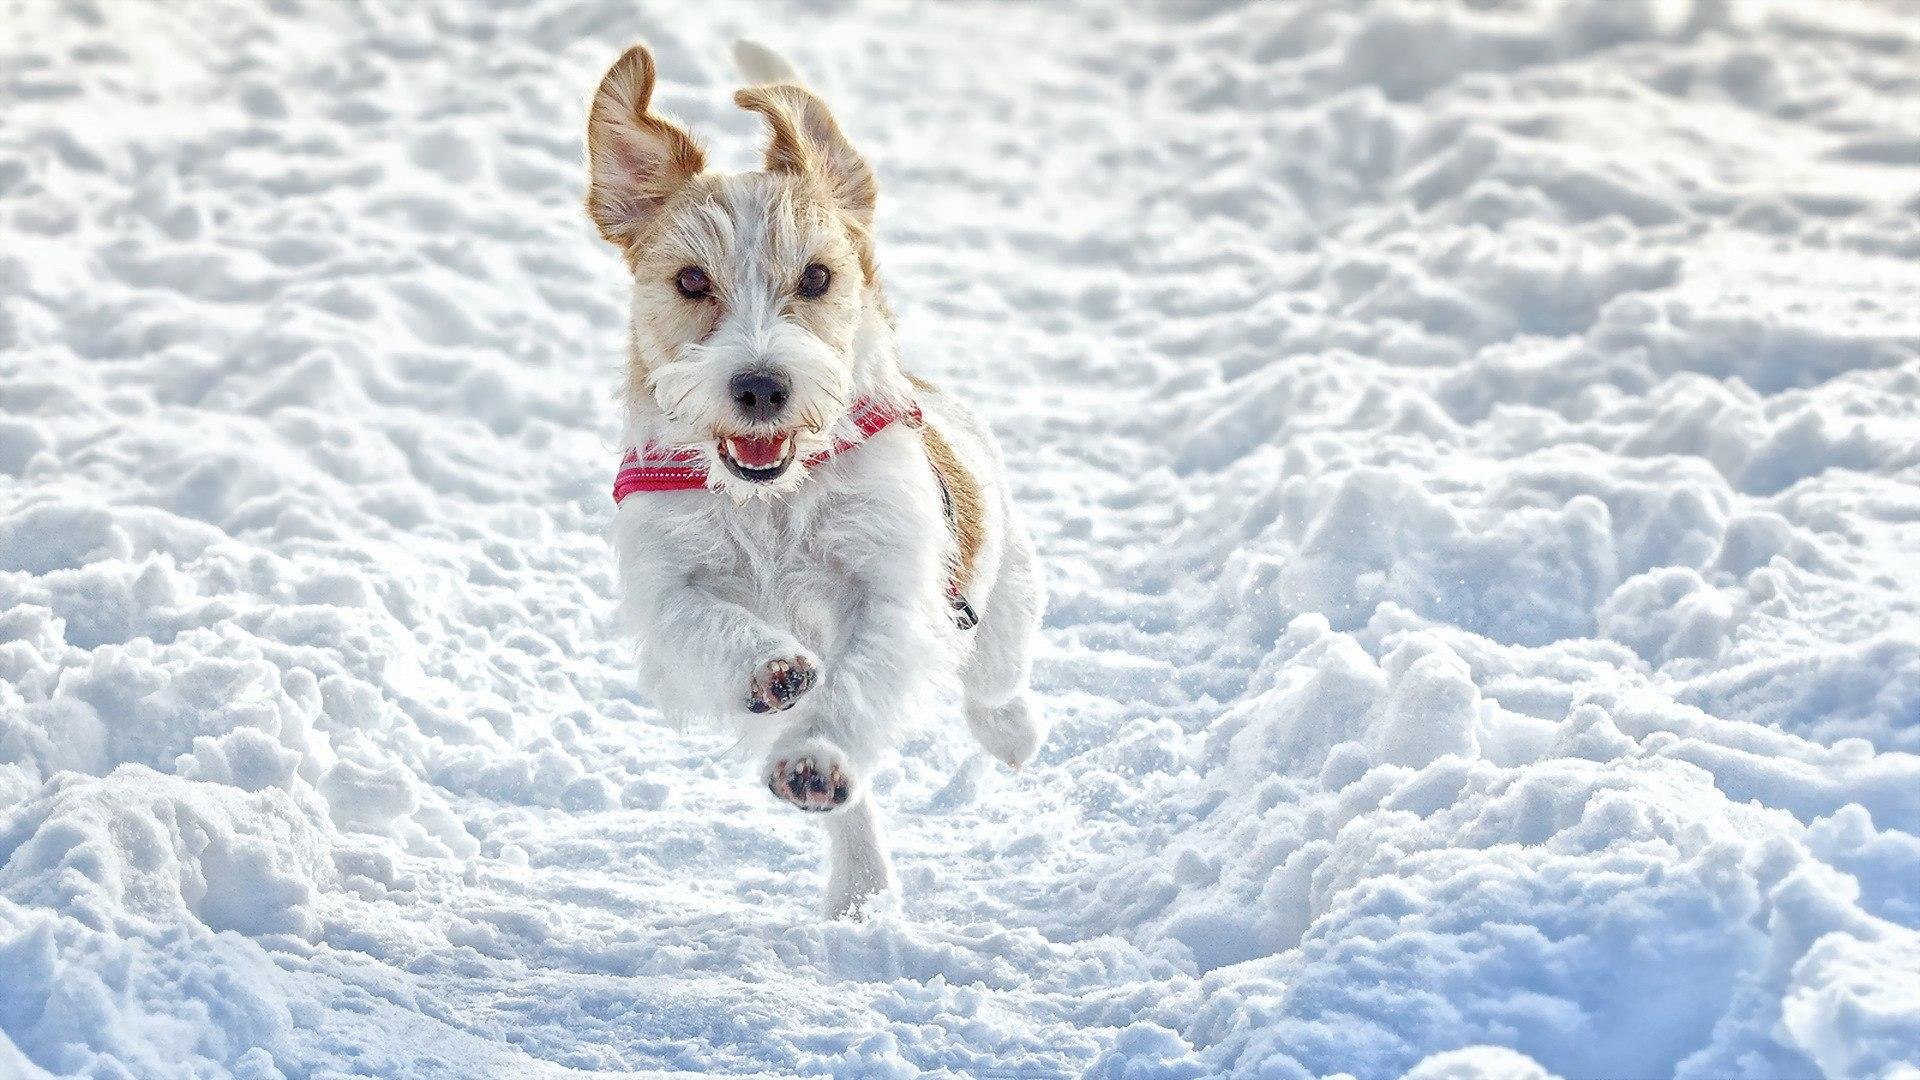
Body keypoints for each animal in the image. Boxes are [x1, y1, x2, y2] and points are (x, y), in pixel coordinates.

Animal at [587, 44, 1052, 914]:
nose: (761, 386)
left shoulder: (892, 594)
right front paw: (771, 668)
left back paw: (1007, 734)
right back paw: (859, 887)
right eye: (691, 281)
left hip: (1003, 595)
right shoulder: (665, 589)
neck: (771, 497)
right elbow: (710, 625)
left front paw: (818, 757)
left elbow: (853, 688)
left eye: (816, 278)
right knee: (854, 807)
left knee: (994, 681)